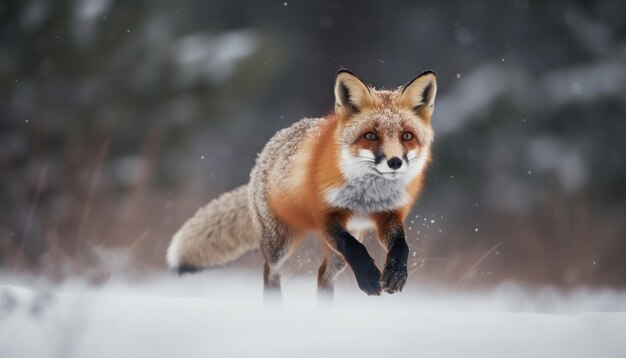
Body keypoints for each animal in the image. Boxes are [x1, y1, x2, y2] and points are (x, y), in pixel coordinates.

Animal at [167, 68, 438, 298]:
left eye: (407, 136)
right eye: (370, 136)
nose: (395, 162)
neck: (368, 198)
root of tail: (266, 151)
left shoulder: (389, 215)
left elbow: (401, 246)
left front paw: (395, 274)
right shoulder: (325, 217)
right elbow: (355, 248)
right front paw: (370, 278)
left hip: (341, 247)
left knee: (324, 276)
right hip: (279, 242)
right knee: (271, 273)